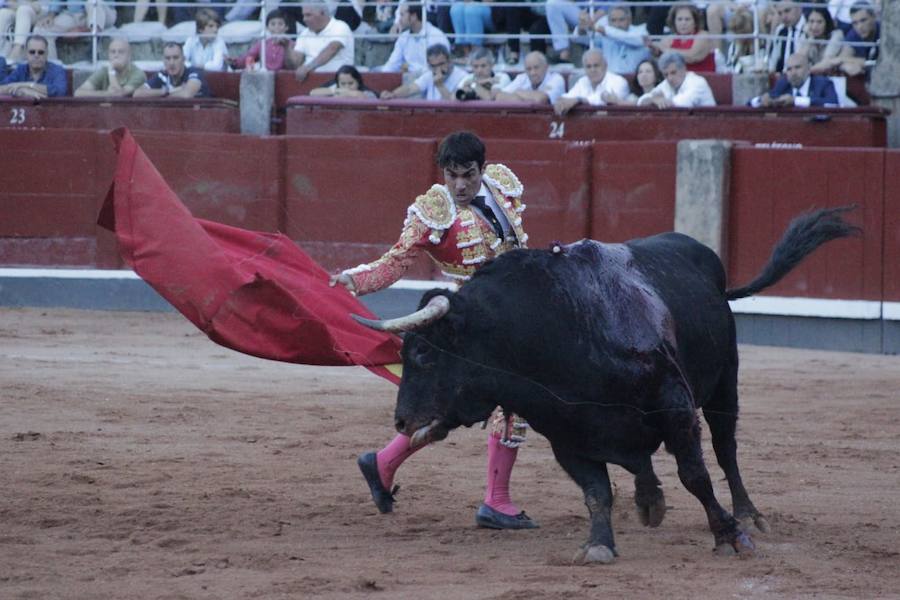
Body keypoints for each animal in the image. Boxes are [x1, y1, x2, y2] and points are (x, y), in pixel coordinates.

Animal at [352, 207, 856, 564]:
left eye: (423, 353)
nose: (403, 420)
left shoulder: (674, 406)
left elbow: (695, 474)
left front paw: (731, 536)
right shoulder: (565, 429)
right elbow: (596, 490)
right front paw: (598, 545)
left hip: (723, 384)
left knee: (725, 449)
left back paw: (749, 514)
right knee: (642, 462)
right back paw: (650, 500)